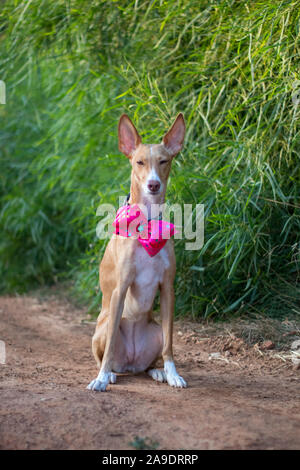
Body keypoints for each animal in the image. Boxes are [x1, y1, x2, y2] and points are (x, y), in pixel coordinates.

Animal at [86, 114, 188, 392]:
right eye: (139, 162)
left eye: (164, 161)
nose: (153, 184)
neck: (147, 225)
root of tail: (130, 363)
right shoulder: (120, 289)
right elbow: (110, 345)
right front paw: (101, 378)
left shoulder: (168, 288)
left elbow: (170, 346)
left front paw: (172, 373)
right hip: (102, 326)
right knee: (106, 355)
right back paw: (109, 373)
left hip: (155, 330)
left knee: (151, 360)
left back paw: (157, 372)